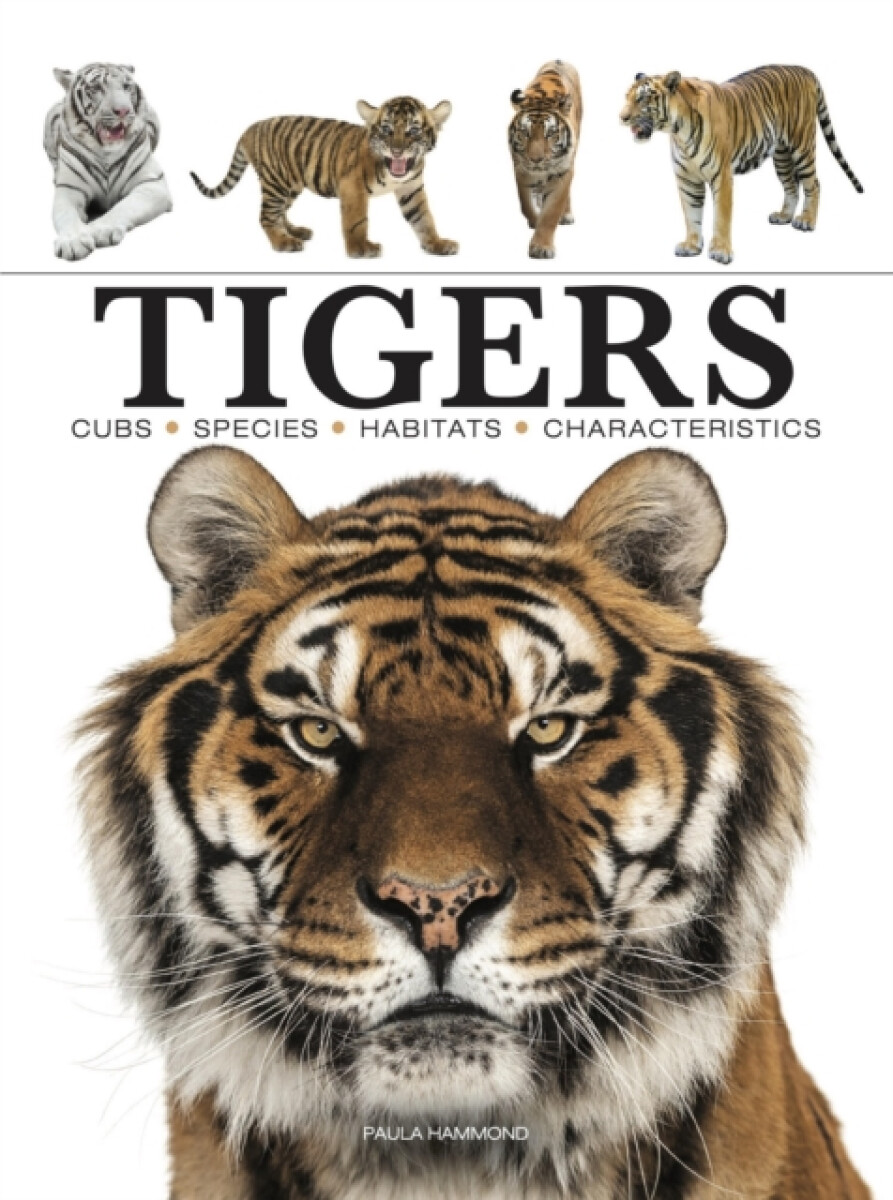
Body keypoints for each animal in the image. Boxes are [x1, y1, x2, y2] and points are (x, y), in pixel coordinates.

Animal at [44, 63, 172, 262]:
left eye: (126, 87)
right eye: (96, 88)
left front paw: (99, 230)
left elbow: (124, 207)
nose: (124, 111)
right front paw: (73, 241)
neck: (106, 152)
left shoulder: (152, 183)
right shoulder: (70, 189)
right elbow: (66, 215)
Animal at [190, 97, 457, 258]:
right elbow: (356, 222)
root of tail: (250, 128)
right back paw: (283, 243)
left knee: (278, 213)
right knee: (266, 216)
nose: (397, 151)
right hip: (276, 183)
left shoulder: (411, 189)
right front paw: (360, 249)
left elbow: (424, 219)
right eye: (386, 130)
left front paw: (437, 244)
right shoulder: (353, 188)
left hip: (290, 185)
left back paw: (295, 232)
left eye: (413, 130)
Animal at [509, 60, 582, 259]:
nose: (536, 160)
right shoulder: (520, 169)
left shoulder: (563, 171)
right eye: (525, 132)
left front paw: (541, 247)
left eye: (551, 134)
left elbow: (551, 214)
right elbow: (525, 204)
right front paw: (534, 220)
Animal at [620, 65, 863, 265]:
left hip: (801, 144)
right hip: (781, 155)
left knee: (814, 184)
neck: (678, 131)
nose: (621, 117)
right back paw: (783, 216)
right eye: (626, 97)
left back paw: (806, 221)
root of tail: (806, 70)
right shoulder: (687, 179)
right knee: (791, 186)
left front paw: (720, 252)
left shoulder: (721, 175)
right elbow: (691, 214)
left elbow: (721, 216)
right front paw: (691, 246)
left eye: (642, 99)